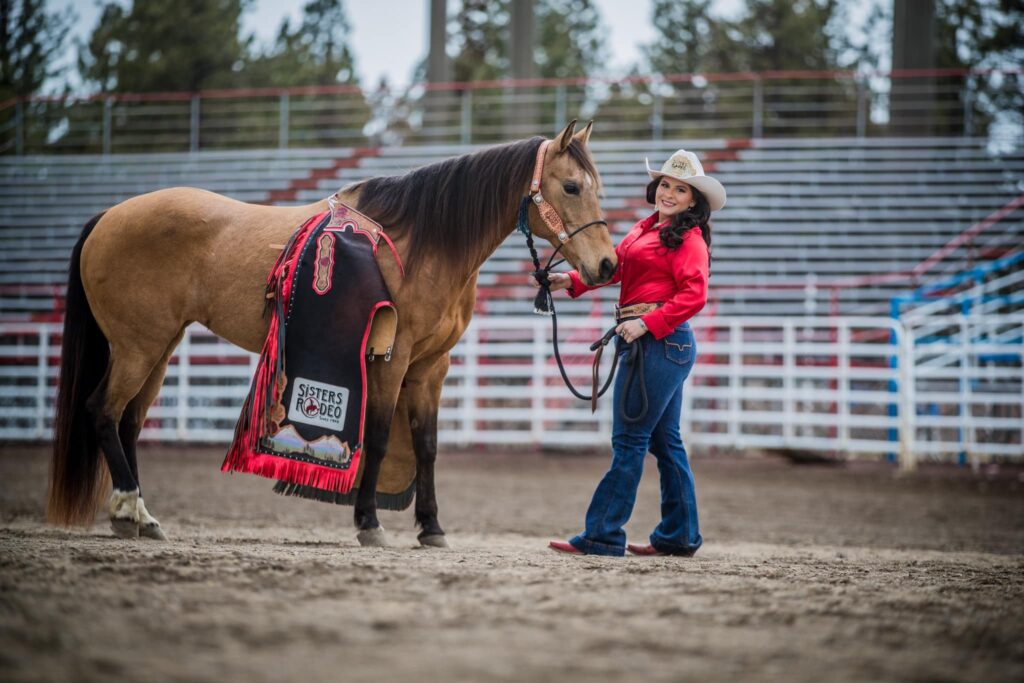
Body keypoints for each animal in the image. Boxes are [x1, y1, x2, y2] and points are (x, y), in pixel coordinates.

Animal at [46, 122, 614, 548]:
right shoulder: (391, 358)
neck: (423, 242)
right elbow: (379, 440)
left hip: (159, 349)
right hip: (137, 347)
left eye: (598, 189)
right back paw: (129, 507)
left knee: (128, 423)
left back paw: (139, 516)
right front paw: (369, 522)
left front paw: (431, 528)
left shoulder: (431, 367)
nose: (607, 265)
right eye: (570, 187)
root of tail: (109, 217)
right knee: (103, 412)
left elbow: (426, 447)